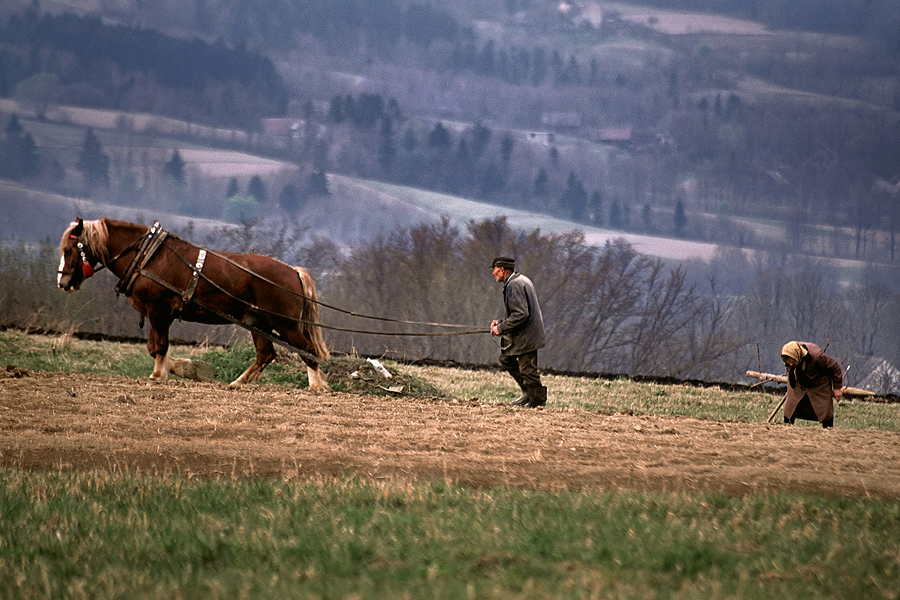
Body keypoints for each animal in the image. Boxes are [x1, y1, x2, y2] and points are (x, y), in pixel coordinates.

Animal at [59, 218, 330, 392]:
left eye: (70, 248)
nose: (63, 282)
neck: (148, 257)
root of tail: (293, 272)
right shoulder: (158, 314)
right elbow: (155, 348)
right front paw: (178, 368)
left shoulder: (159, 311)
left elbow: (159, 346)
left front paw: (159, 374)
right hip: (258, 322)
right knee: (266, 354)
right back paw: (238, 383)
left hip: (285, 323)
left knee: (308, 350)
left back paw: (317, 386)